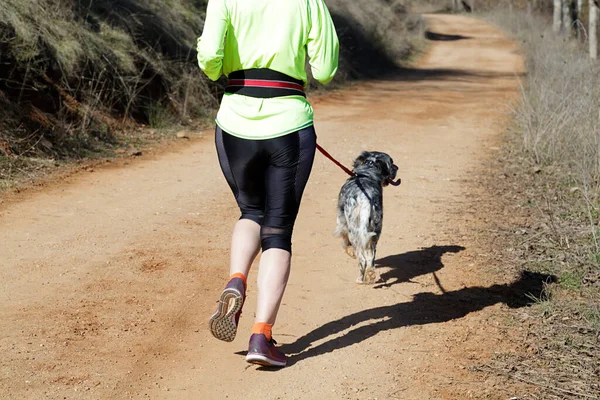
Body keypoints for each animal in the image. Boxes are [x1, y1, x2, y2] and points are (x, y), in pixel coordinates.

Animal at [332, 151, 398, 284]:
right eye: (392, 162)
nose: (397, 168)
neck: (367, 172)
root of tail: (366, 201)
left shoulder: (341, 219)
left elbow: (344, 241)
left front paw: (349, 251)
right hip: (375, 231)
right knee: (370, 257)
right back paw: (370, 275)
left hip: (354, 230)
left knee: (362, 258)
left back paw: (360, 279)